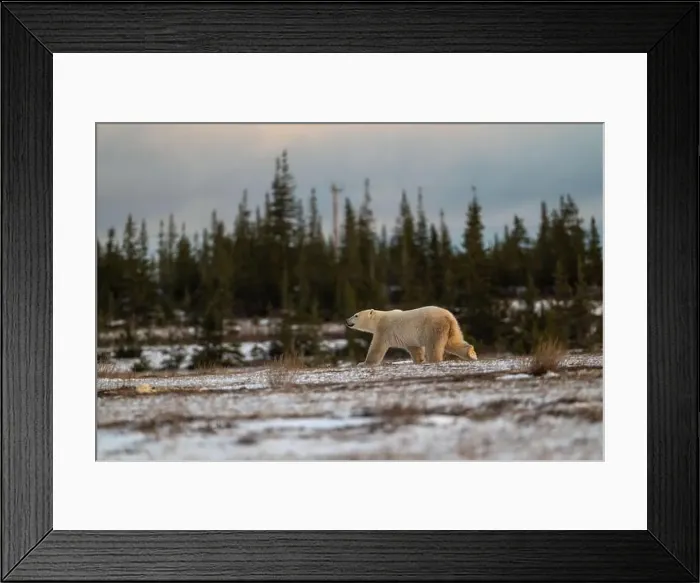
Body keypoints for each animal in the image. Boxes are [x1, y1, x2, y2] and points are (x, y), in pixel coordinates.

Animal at [345, 306, 478, 366]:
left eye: (356, 315)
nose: (346, 320)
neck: (379, 319)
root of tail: (448, 317)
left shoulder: (384, 329)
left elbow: (376, 348)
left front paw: (363, 363)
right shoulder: (408, 338)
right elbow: (415, 348)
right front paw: (419, 360)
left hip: (433, 327)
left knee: (434, 346)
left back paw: (433, 360)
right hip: (453, 327)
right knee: (453, 342)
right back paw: (471, 353)